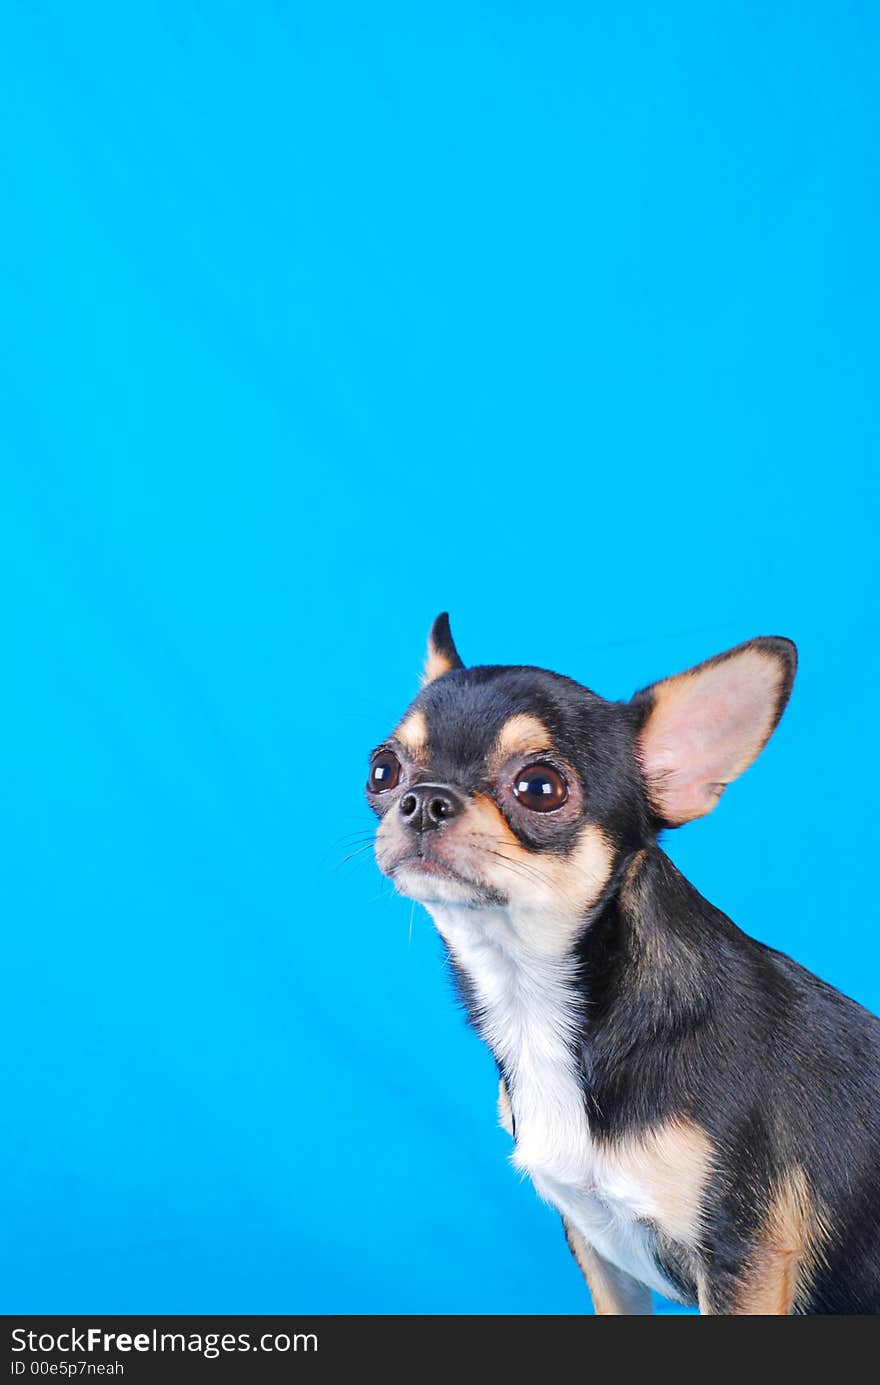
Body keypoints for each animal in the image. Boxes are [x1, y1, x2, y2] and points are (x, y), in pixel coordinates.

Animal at [368, 614, 880, 1307]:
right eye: (382, 770)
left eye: (540, 788)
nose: (423, 799)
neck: (534, 1000)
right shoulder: (599, 1249)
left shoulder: (744, 1260)